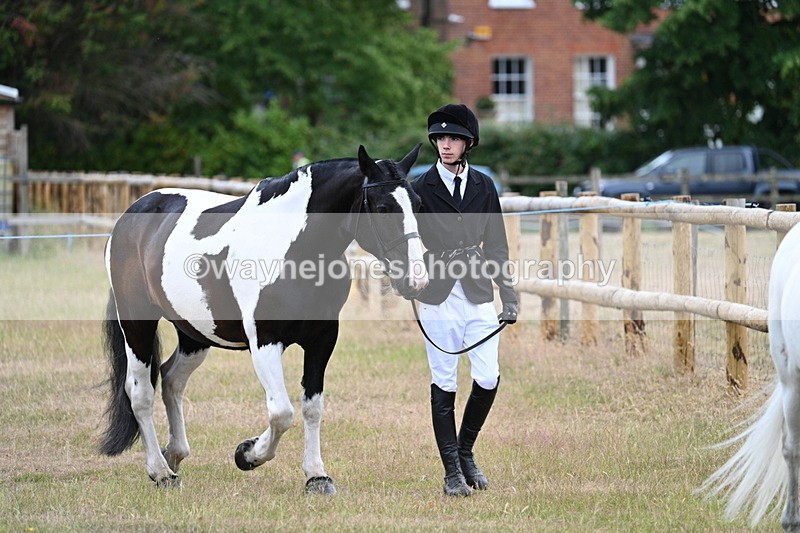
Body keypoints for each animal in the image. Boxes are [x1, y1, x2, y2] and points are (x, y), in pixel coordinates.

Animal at [99, 144, 429, 495]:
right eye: (382, 208)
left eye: (419, 205)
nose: (416, 281)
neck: (295, 249)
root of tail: (131, 215)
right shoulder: (265, 342)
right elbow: (282, 412)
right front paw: (248, 454)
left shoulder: (323, 340)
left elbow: (312, 407)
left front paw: (317, 476)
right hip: (137, 324)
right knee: (140, 392)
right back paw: (161, 472)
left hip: (194, 334)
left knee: (172, 379)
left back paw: (174, 454)